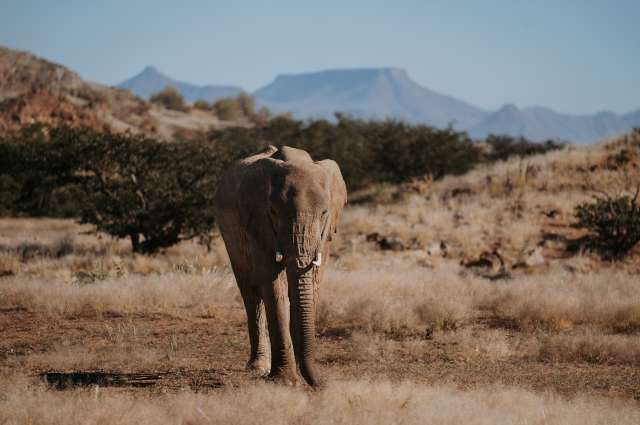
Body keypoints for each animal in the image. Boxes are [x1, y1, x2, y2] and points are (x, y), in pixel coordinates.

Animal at [214, 145, 347, 388]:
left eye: (324, 213)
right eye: (274, 212)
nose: (323, 385)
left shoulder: (325, 235)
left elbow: (311, 283)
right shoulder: (258, 223)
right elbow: (273, 286)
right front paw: (286, 381)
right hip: (229, 234)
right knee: (250, 292)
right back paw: (257, 367)